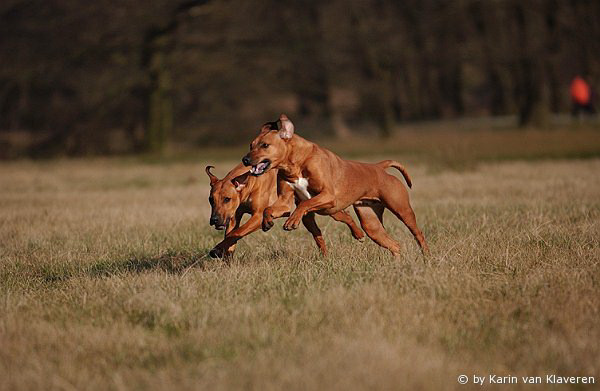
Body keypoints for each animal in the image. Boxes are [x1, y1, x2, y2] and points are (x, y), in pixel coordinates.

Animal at [206, 162, 366, 258]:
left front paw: (216, 250)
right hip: (306, 216)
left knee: (346, 215)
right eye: (211, 200)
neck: (249, 182)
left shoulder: (258, 216)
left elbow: (236, 233)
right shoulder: (233, 217)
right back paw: (325, 256)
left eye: (227, 199)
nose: (214, 220)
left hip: (327, 208)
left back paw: (358, 234)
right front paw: (225, 255)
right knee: (318, 234)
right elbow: (231, 234)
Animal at [241, 115, 428, 258]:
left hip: (402, 210)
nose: (245, 160)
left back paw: (426, 256)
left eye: (265, 145)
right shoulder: (285, 201)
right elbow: (270, 208)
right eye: (251, 145)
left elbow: (305, 203)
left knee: (418, 233)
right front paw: (267, 222)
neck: (296, 163)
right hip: (370, 223)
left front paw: (292, 221)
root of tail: (378, 167)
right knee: (393, 244)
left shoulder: (328, 196)